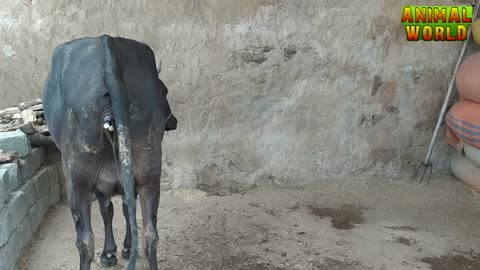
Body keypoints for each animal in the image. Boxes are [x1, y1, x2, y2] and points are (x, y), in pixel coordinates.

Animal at [42, 34, 177, 270]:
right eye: (165, 91)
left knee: (85, 241)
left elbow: (108, 210)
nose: (174, 121)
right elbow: (122, 207)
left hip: (77, 177)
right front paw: (123, 248)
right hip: (149, 172)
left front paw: (109, 253)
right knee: (150, 234)